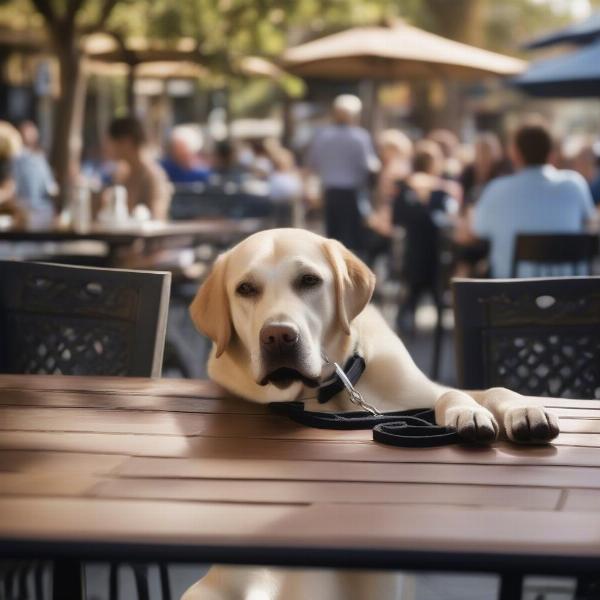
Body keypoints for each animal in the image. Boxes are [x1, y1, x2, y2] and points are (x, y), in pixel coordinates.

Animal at [185, 229, 560, 600]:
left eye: (309, 280)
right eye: (245, 289)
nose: (278, 335)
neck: (333, 392)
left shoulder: (427, 390)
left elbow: (479, 391)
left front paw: (507, 410)